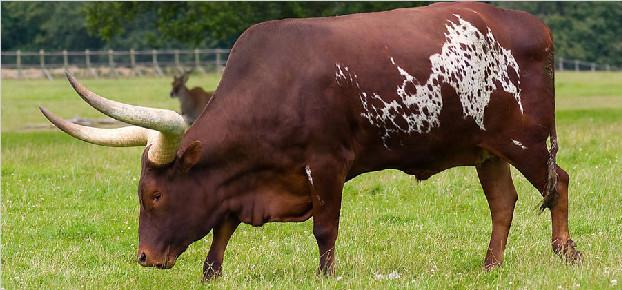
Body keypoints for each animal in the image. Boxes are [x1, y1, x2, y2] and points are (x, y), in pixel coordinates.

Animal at [41, 2, 584, 280]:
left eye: (154, 196)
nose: (145, 258)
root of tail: (535, 25)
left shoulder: (326, 164)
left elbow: (325, 228)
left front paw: (326, 275)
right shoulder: (244, 180)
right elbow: (222, 226)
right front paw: (211, 272)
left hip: (527, 140)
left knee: (558, 183)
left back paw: (566, 253)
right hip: (485, 149)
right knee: (504, 201)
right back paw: (490, 266)